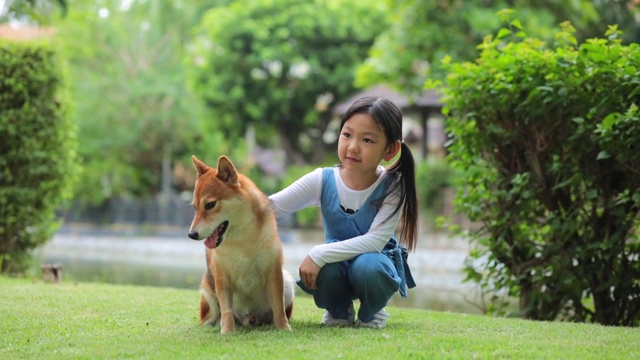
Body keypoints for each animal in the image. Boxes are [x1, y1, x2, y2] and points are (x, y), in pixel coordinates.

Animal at [186, 155, 294, 334]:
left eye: (210, 205)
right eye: (195, 207)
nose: (191, 234)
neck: (242, 240)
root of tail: (249, 318)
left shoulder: (274, 273)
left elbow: (279, 308)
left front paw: (284, 329)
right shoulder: (222, 277)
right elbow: (227, 311)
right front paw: (228, 332)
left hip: (288, 283)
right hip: (208, 292)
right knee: (213, 317)